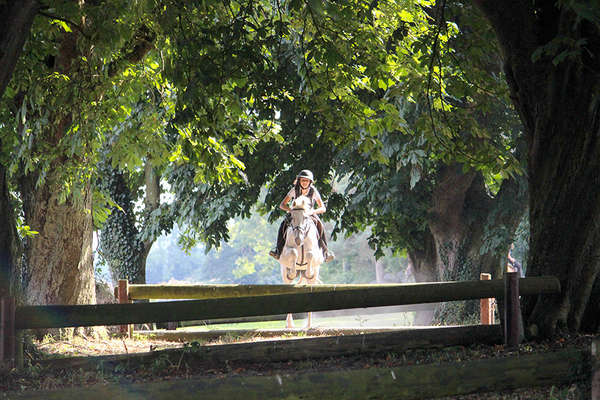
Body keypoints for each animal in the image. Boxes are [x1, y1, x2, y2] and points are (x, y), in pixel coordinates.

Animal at [280, 194, 324, 328]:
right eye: (292, 218)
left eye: (305, 217)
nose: (298, 240)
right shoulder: (285, 253)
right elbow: (293, 252)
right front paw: (292, 273)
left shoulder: (316, 254)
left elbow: (310, 254)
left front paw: (309, 273)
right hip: (283, 272)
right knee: (287, 286)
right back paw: (289, 325)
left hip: (313, 278)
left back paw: (309, 325)